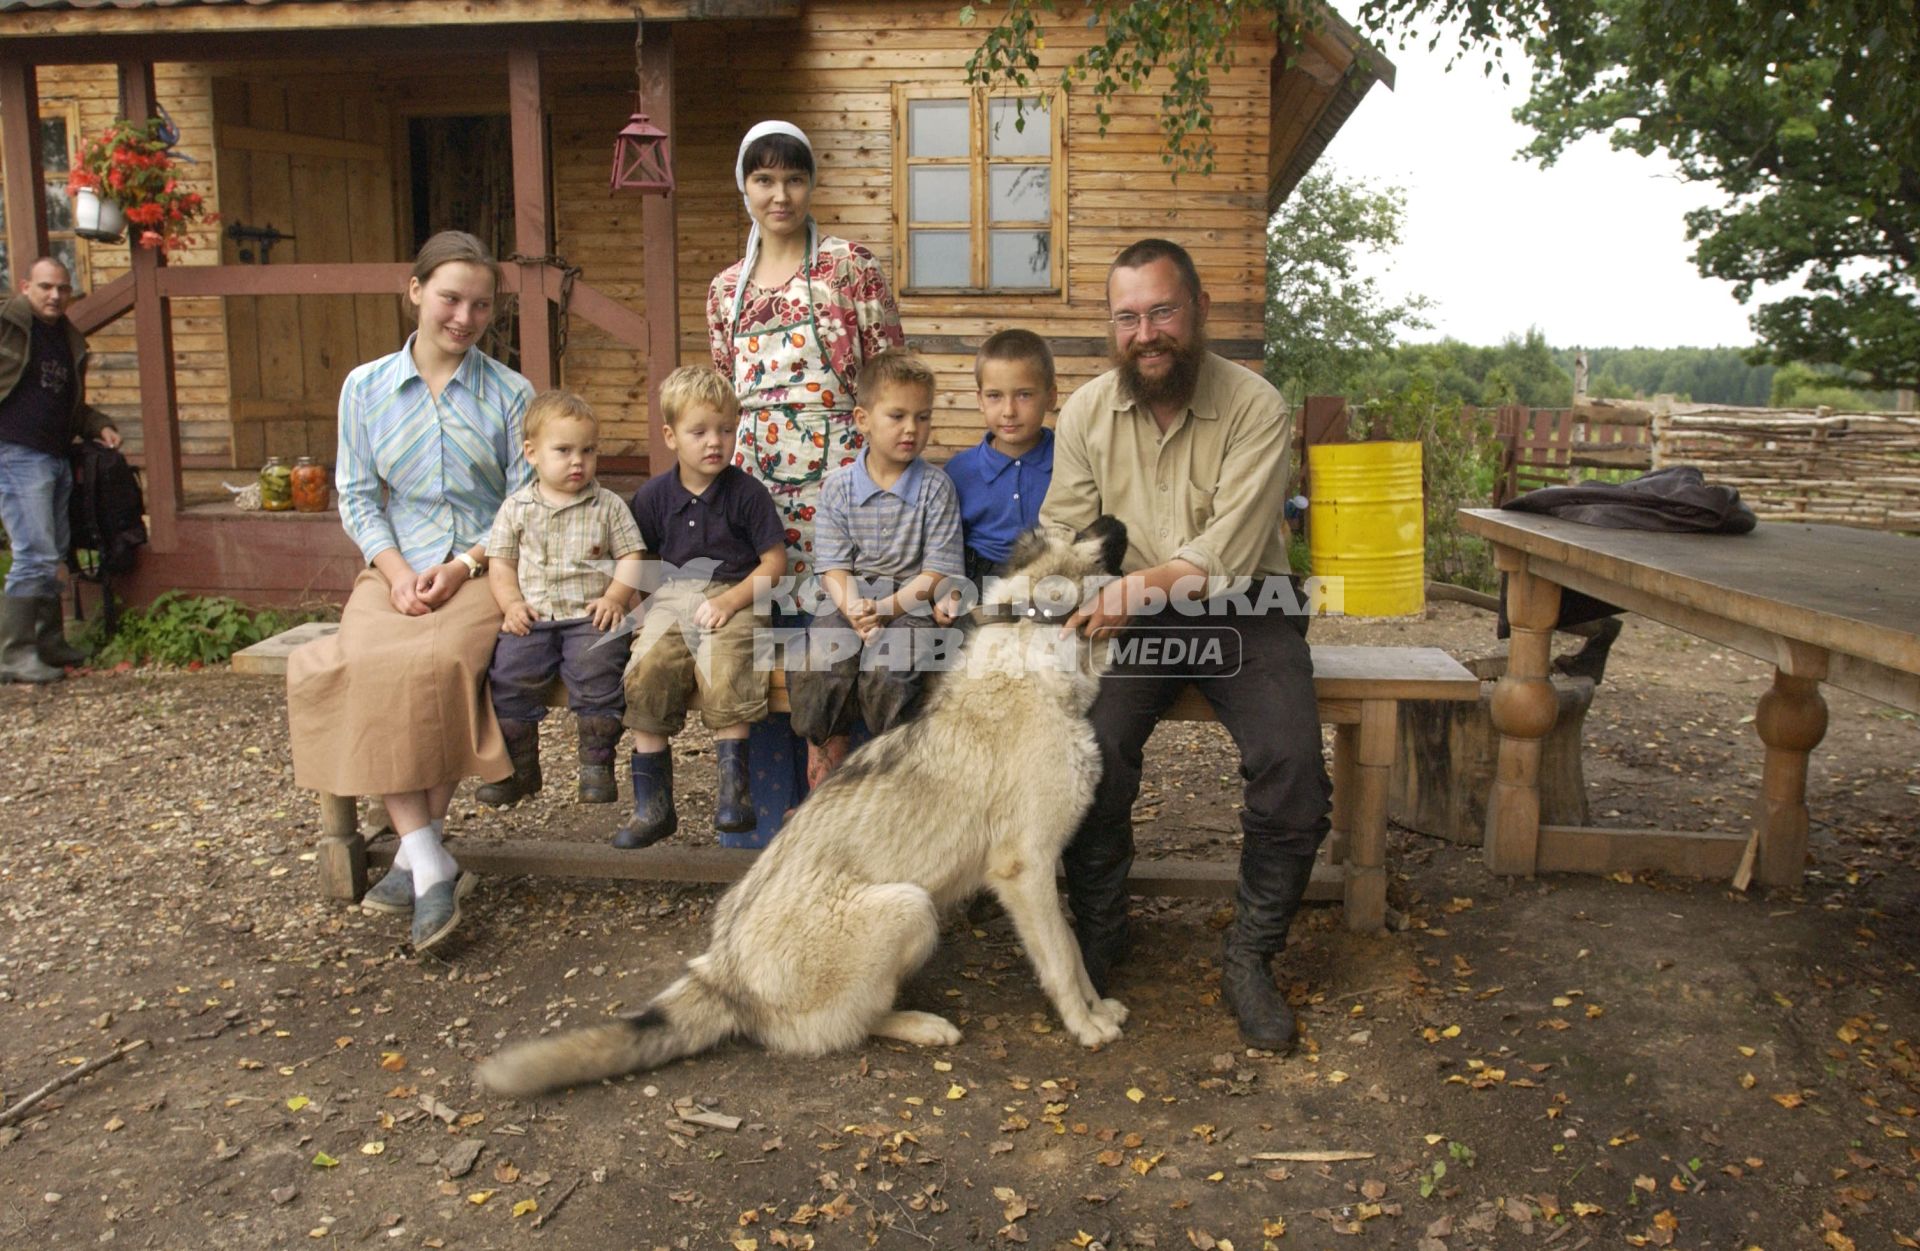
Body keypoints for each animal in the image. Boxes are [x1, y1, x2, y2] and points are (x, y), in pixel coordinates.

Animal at [480, 514, 1128, 1097]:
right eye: (1079, 529)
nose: (1120, 520)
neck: (1033, 652)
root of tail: (725, 977)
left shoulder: (1040, 871)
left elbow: (1074, 952)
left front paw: (1099, 1008)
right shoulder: (1026, 871)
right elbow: (1061, 960)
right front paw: (1084, 1025)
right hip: (911, 906)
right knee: (848, 1025)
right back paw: (922, 1024)